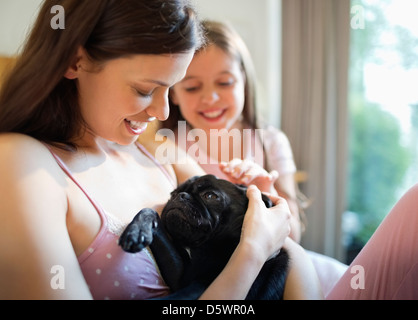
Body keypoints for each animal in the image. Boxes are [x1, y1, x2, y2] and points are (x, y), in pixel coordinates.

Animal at [117, 174, 288, 298]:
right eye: (173, 194)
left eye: (210, 196)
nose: (181, 195)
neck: (206, 247)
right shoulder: (179, 278)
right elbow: (150, 212)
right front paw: (137, 230)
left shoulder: (197, 287)